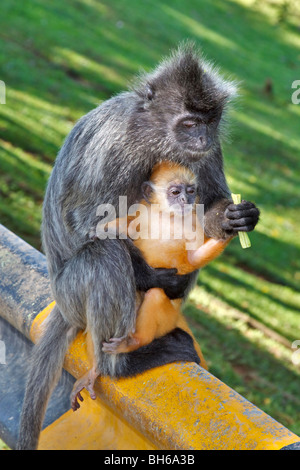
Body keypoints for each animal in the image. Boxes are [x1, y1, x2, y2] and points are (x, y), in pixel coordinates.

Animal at [17, 45, 258, 452]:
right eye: (189, 123)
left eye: (210, 121)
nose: (202, 138)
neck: (156, 136)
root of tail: (61, 302)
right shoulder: (118, 144)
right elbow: (87, 222)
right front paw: (155, 276)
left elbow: (207, 206)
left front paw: (234, 218)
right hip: (71, 293)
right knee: (105, 256)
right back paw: (117, 364)